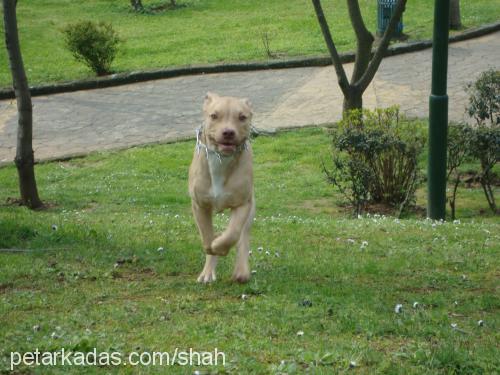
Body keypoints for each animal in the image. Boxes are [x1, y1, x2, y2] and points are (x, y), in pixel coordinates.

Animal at [189, 92, 256, 284]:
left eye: (242, 117)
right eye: (214, 116)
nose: (228, 132)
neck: (221, 160)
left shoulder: (243, 203)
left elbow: (233, 233)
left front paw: (220, 245)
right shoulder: (199, 204)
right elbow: (206, 234)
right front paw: (212, 246)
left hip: (251, 207)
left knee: (242, 236)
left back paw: (241, 271)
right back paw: (207, 273)